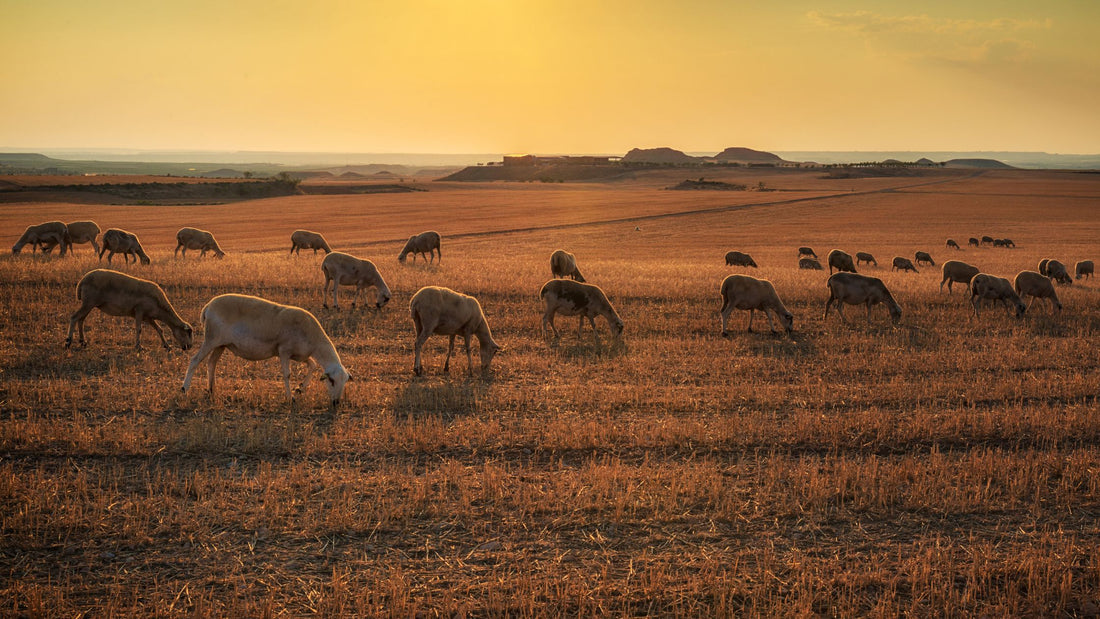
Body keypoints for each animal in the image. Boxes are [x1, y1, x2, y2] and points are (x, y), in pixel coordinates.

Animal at [65, 269, 193, 351]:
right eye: (187, 333)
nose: (189, 347)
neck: (160, 307)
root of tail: (82, 281)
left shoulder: (148, 316)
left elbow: (159, 329)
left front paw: (167, 346)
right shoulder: (139, 310)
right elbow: (139, 329)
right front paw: (139, 347)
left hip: (89, 304)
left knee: (81, 320)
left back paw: (83, 342)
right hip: (89, 302)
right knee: (74, 317)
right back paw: (68, 341)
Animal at [182, 294, 349, 409]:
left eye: (345, 381)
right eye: (331, 381)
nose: (336, 403)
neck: (314, 341)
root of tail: (208, 306)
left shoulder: (299, 355)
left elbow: (313, 365)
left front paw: (299, 389)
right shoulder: (284, 350)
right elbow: (287, 374)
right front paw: (290, 398)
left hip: (221, 344)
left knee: (211, 363)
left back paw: (211, 390)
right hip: (211, 338)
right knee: (195, 360)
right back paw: (185, 389)